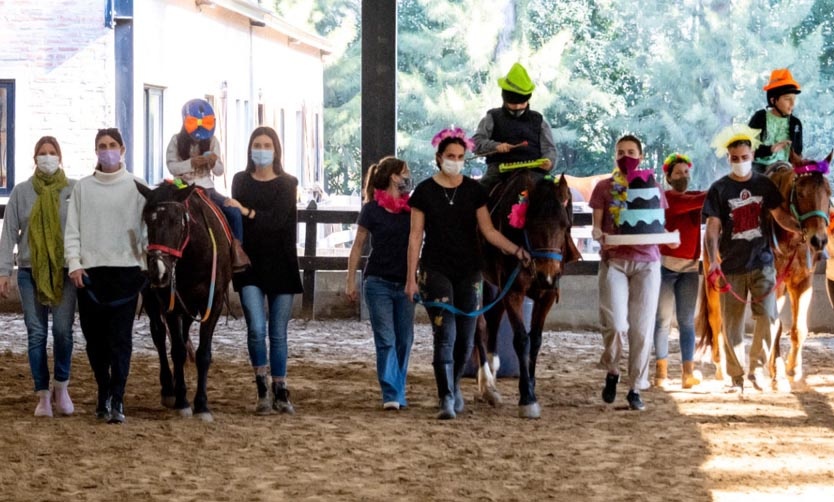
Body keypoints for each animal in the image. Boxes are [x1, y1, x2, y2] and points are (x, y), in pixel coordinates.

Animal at [135, 180, 231, 420]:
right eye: (148, 220)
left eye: (177, 220)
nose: (158, 272)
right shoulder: (170, 305)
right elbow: (176, 351)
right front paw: (182, 401)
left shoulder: (213, 304)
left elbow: (203, 354)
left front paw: (202, 405)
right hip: (152, 299)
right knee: (160, 336)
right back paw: (169, 389)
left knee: (183, 334)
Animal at [472, 171, 580, 418]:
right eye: (530, 224)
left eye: (565, 225)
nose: (546, 276)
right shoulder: (514, 292)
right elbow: (522, 339)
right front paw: (527, 398)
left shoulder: (546, 295)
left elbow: (536, 340)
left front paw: (530, 383)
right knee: (479, 325)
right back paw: (487, 383)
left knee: (493, 319)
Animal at [692, 151, 828, 390]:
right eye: (800, 192)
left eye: (828, 192)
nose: (818, 240)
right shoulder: (775, 284)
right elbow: (777, 326)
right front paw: (779, 374)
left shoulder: (802, 282)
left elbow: (798, 328)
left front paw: (793, 370)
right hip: (714, 283)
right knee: (717, 322)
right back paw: (722, 370)